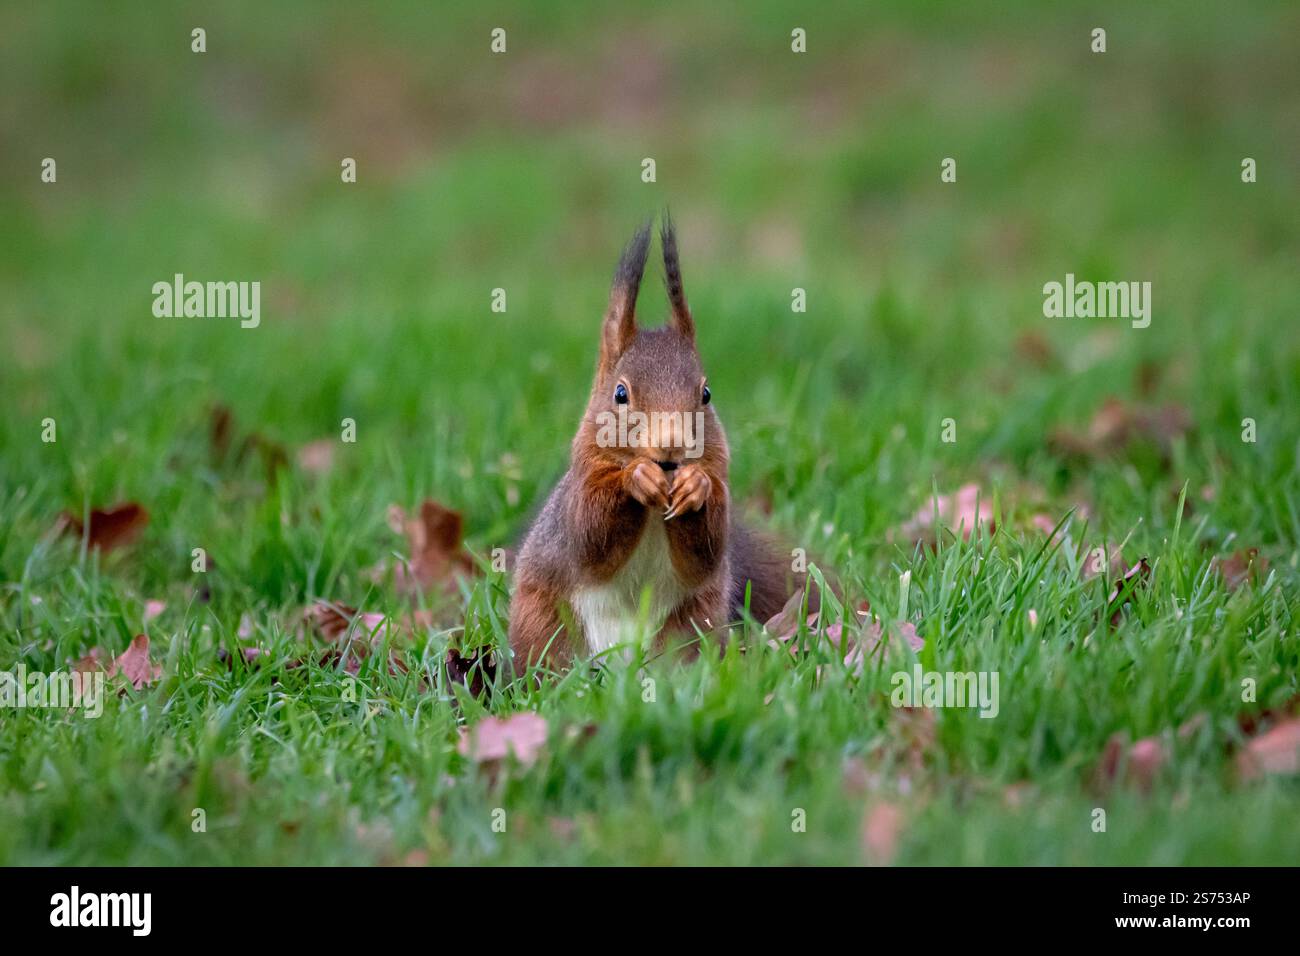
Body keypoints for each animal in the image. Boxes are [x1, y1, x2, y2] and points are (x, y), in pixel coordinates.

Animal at [508, 216, 805, 670]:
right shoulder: (583, 485)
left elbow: (705, 551)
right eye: (620, 393)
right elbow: (591, 534)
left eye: (706, 394)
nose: (671, 447)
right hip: (543, 619)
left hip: (692, 624)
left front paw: (695, 488)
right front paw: (637, 477)